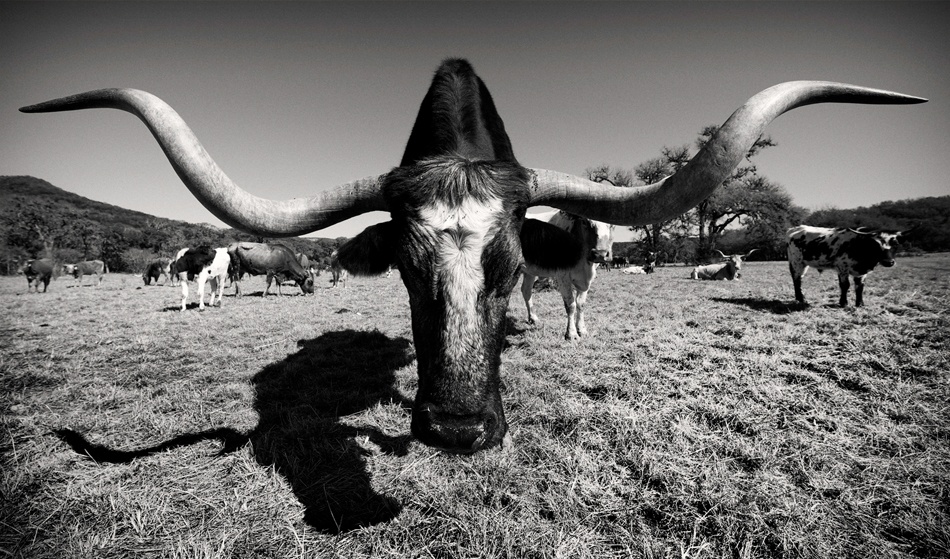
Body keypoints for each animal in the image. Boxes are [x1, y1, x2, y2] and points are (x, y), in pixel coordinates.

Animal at [520, 210, 615, 340]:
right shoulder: (562, 276)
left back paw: (533, 318)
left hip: (529, 271)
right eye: (584, 221)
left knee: (526, 290)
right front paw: (572, 333)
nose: (600, 254)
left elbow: (581, 304)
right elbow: (570, 305)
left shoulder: (587, 280)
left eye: (612, 225)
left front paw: (582, 329)